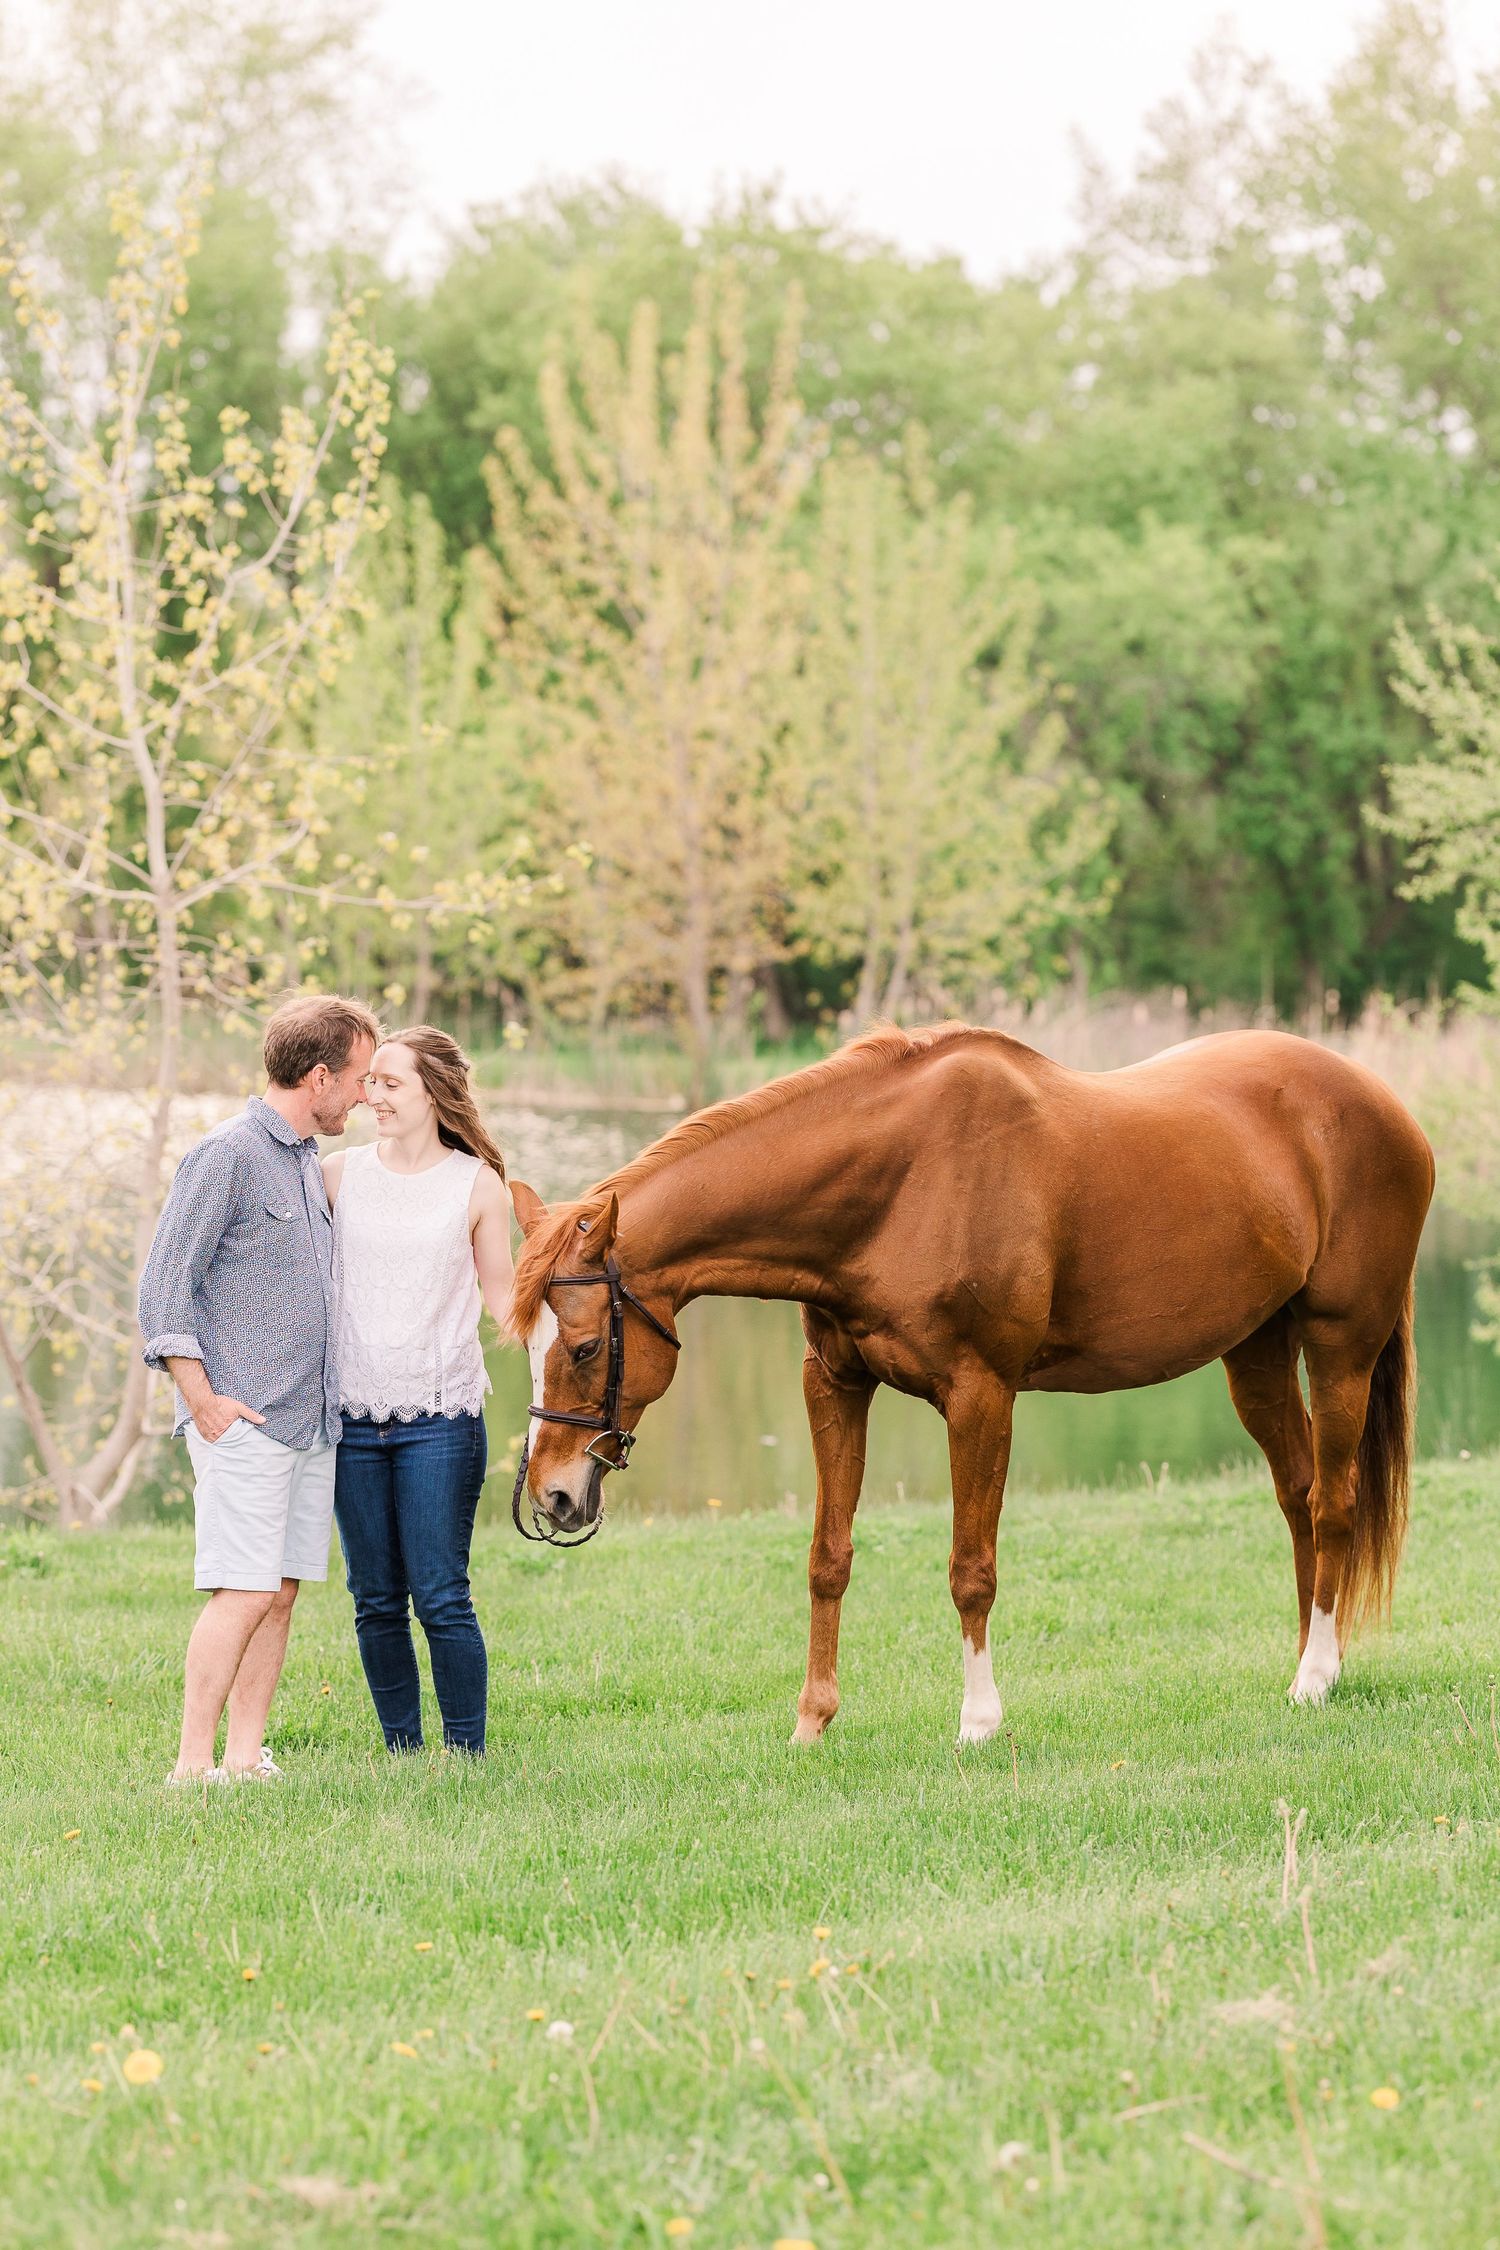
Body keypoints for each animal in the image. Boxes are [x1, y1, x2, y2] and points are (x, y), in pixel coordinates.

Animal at [508, 1023, 1435, 1742]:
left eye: (584, 1348)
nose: (553, 1495)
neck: (896, 1185)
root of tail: (1387, 1105)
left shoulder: (981, 1397)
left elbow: (970, 1568)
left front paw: (979, 1722)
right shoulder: (834, 1386)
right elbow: (827, 1558)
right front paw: (813, 1720)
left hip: (1341, 1346)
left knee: (1334, 1503)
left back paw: (1316, 1675)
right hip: (1257, 1356)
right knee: (1299, 1496)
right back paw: (1314, 1666)